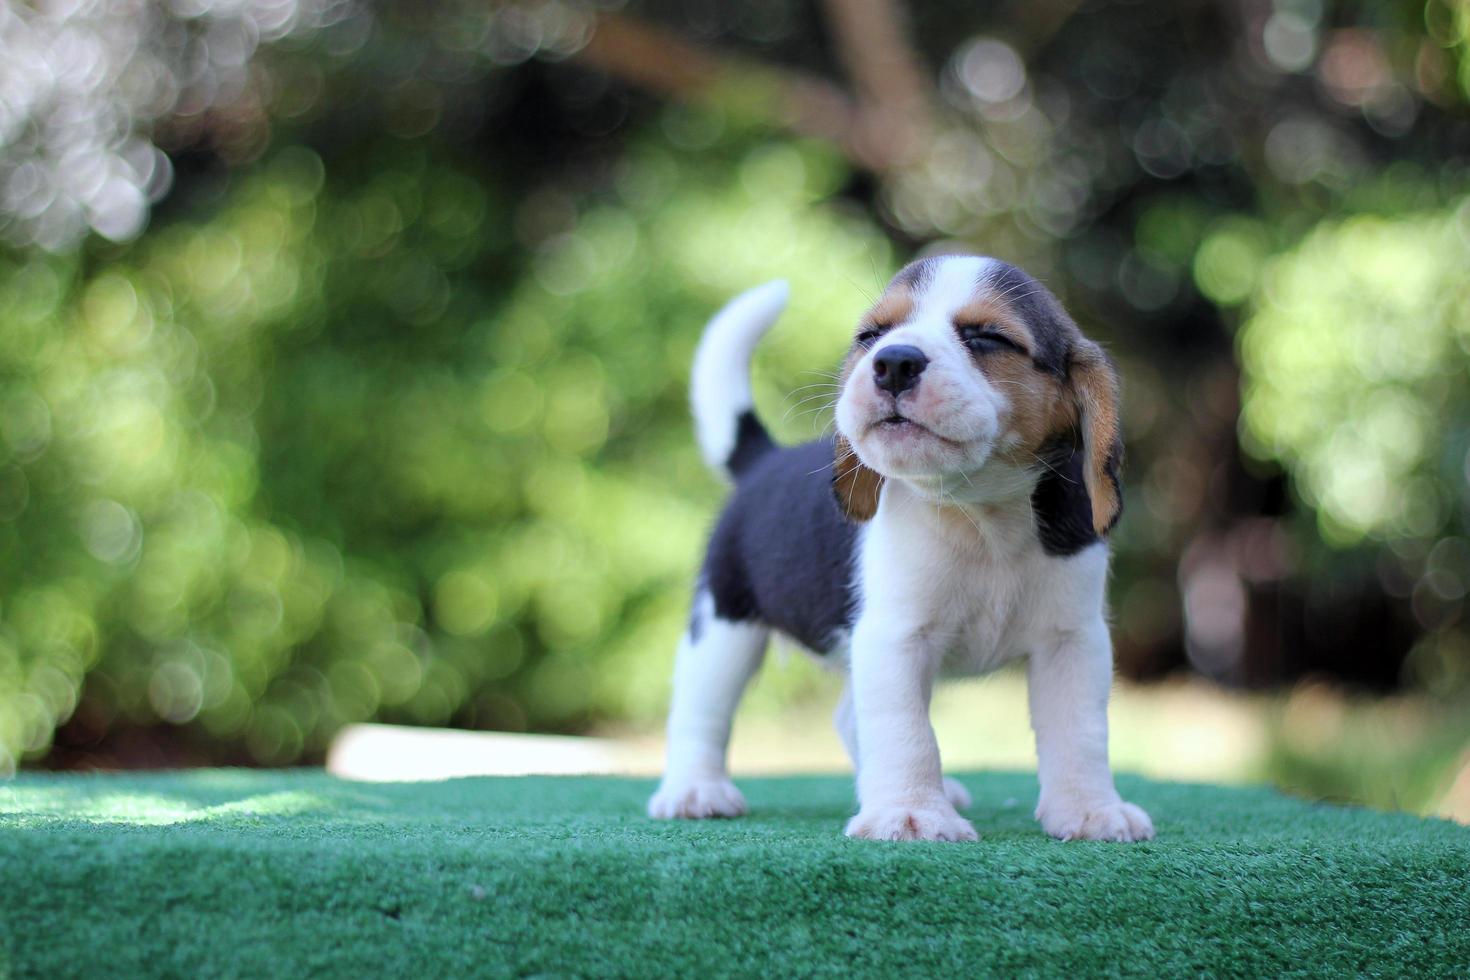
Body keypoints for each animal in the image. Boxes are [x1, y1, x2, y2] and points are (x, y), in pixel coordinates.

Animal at [649, 252, 1152, 846]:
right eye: (872, 335)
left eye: (987, 337)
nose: (893, 362)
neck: (980, 516)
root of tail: (764, 462)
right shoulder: (895, 638)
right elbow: (906, 731)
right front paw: (912, 814)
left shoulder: (1073, 640)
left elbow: (1080, 732)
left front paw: (1091, 810)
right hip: (723, 625)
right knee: (701, 713)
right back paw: (693, 791)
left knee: (847, 717)